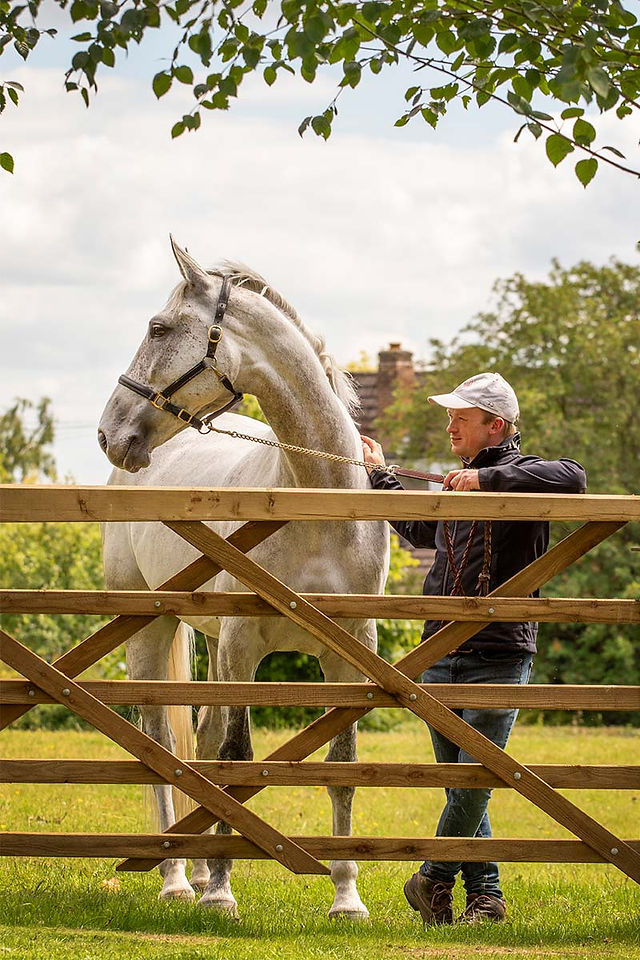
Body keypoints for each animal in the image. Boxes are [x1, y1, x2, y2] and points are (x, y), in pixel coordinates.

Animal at [97, 238, 389, 918]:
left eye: (158, 328)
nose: (109, 433)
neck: (316, 505)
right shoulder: (242, 645)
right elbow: (236, 757)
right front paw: (221, 893)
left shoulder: (350, 655)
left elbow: (342, 765)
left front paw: (346, 898)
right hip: (153, 633)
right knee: (164, 743)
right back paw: (180, 879)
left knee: (200, 742)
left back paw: (201, 868)